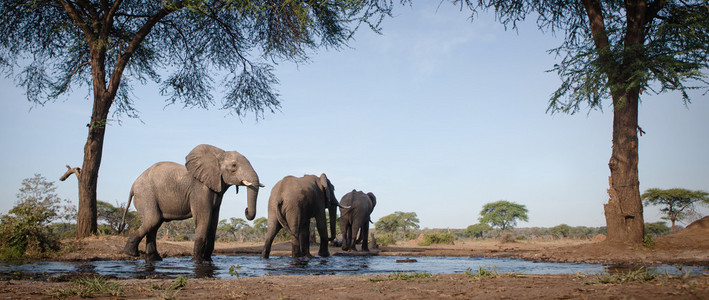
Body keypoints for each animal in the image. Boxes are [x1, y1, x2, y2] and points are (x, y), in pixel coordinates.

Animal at [120, 144, 264, 262]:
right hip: (146, 195)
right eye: (234, 166)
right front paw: (197, 261)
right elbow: (204, 218)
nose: (246, 210)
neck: (218, 154)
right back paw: (131, 253)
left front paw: (207, 260)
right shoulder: (199, 189)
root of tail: (133, 185)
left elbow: (214, 221)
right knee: (153, 220)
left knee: (154, 224)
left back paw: (155, 259)